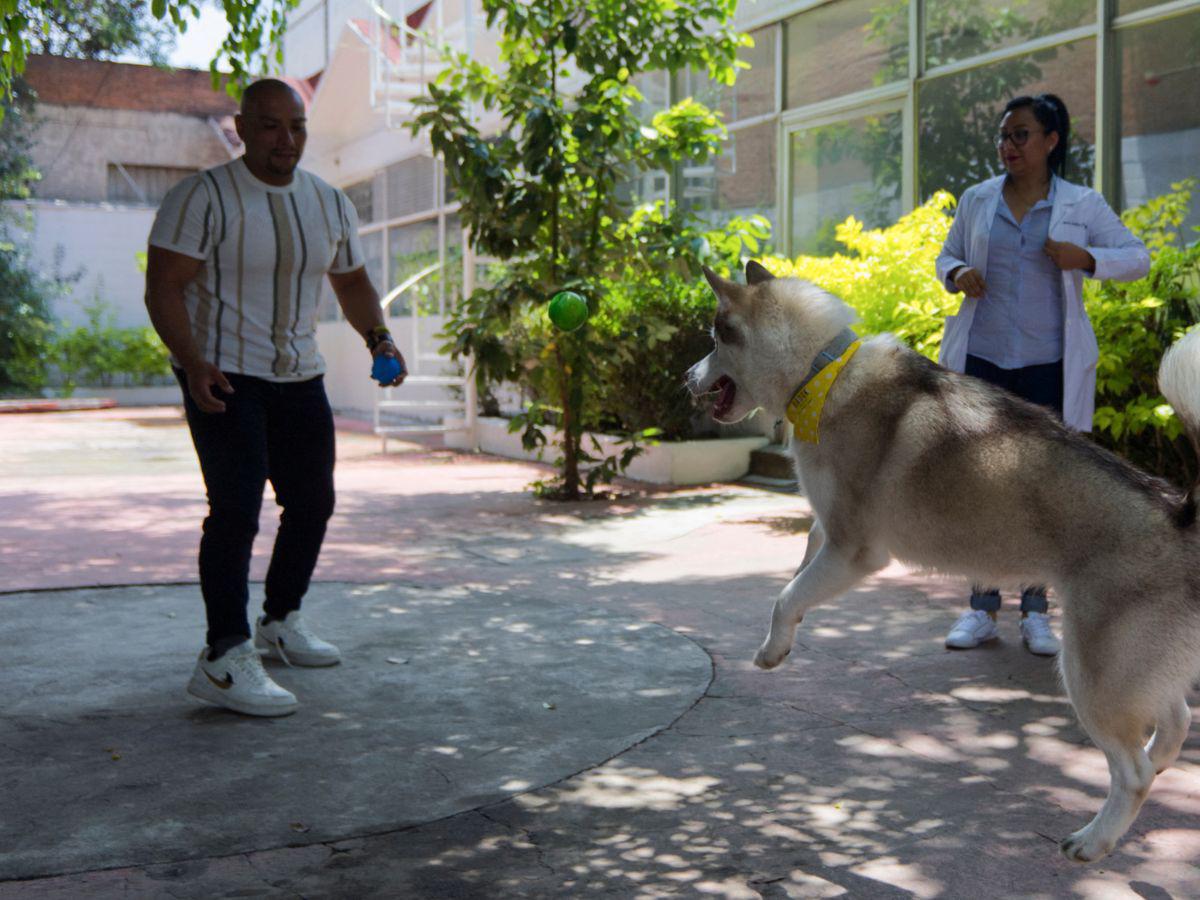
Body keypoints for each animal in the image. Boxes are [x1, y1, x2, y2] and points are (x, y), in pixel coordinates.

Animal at [686, 260, 1200, 868]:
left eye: (715, 337)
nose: (686, 377)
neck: (821, 370)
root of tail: (1180, 512)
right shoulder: (829, 533)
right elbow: (800, 569)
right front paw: (786, 632)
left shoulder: (855, 550)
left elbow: (784, 596)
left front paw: (773, 648)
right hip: (1136, 669)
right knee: (1177, 720)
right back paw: (1154, 769)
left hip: (1092, 676)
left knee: (1134, 771)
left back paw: (1096, 839)